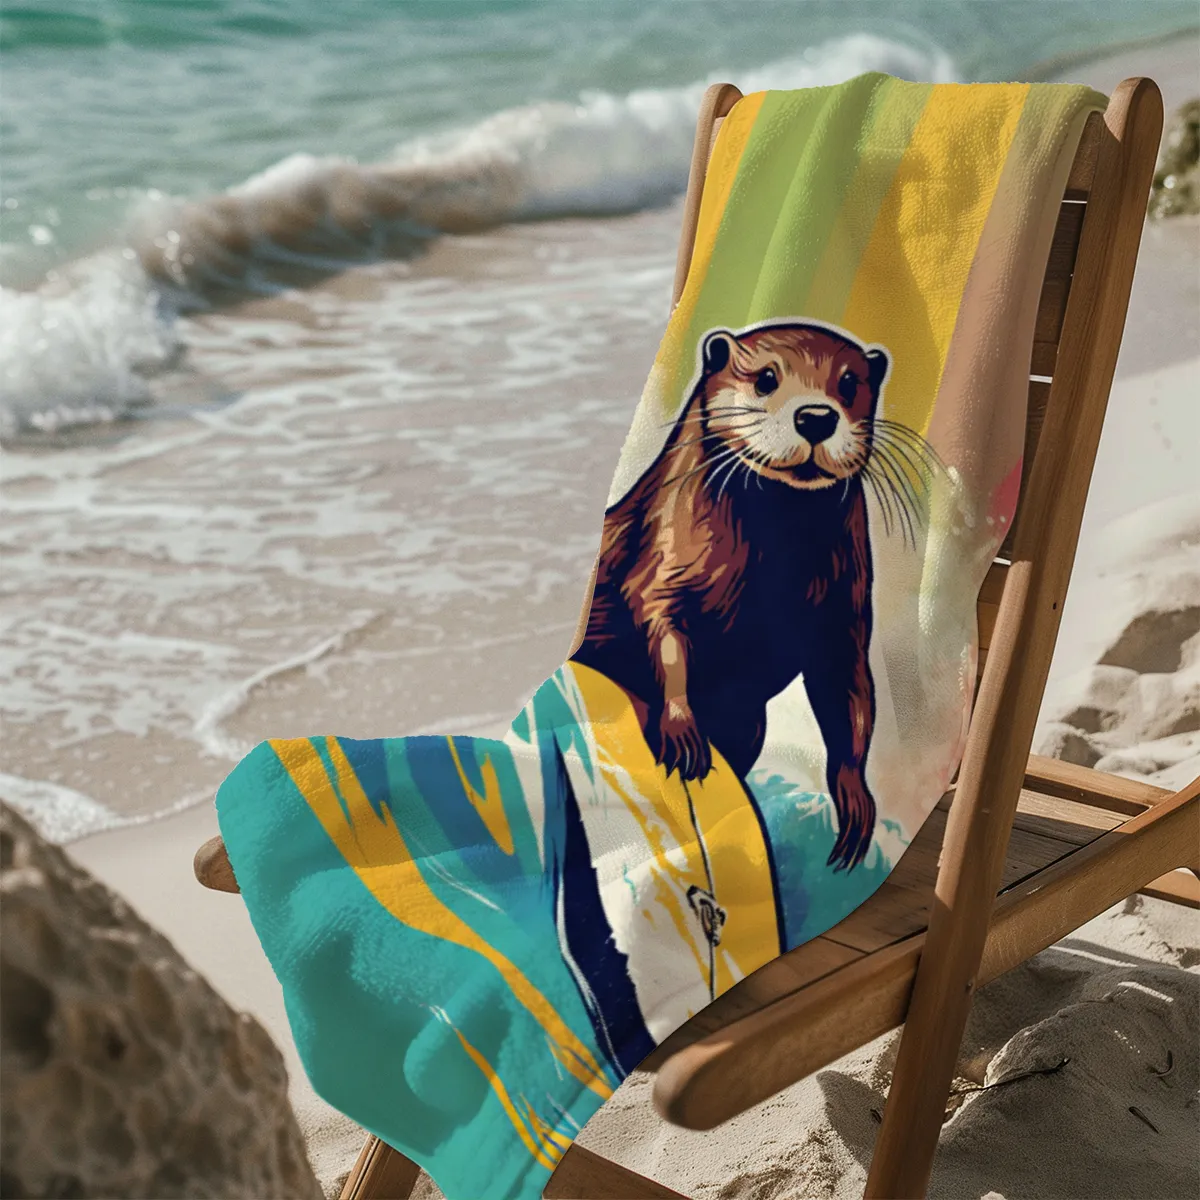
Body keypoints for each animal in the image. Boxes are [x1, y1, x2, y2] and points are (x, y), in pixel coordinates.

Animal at [572, 320, 893, 871]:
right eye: (766, 377)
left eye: (850, 384)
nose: (815, 415)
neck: (769, 575)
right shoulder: (661, 565)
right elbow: (662, 631)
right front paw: (683, 731)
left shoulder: (844, 615)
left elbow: (851, 698)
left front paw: (855, 801)